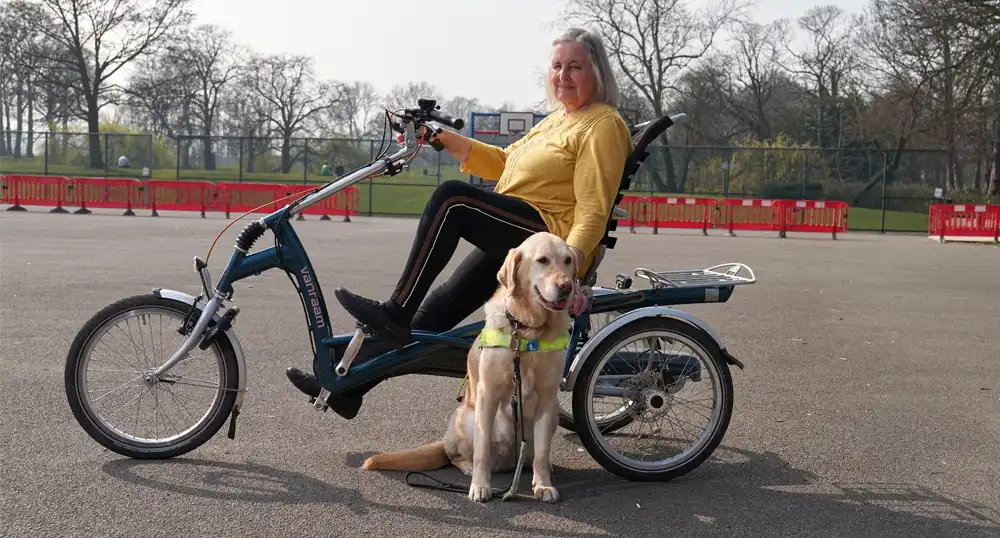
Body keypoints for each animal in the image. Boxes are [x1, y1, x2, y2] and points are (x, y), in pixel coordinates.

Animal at [362, 231, 580, 502]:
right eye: (542, 260)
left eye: (568, 260)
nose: (566, 287)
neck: (527, 330)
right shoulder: (488, 395)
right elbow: (481, 452)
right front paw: (480, 486)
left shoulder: (547, 398)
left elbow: (542, 451)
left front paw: (543, 485)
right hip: (467, 417)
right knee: (456, 455)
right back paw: (468, 469)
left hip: (552, 415)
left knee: (533, 455)